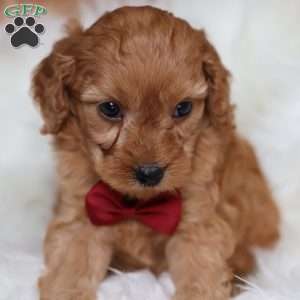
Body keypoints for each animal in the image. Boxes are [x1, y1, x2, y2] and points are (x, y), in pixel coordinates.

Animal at [31, 6, 280, 300]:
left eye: (183, 108)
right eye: (110, 108)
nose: (150, 173)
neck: (138, 204)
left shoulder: (197, 222)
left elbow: (200, 276)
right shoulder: (80, 216)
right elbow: (69, 269)